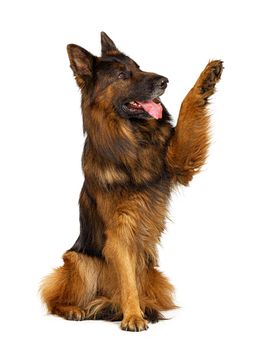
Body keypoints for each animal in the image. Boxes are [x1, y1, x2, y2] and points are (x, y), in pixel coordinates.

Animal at [39, 30, 222, 330]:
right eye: (123, 75)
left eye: (138, 67)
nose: (164, 81)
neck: (134, 138)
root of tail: (104, 299)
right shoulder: (120, 230)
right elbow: (127, 280)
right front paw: (133, 316)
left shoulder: (179, 159)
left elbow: (187, 109)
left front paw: (205, 80)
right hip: (78, 261)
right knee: (55, 298)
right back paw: (75, 309)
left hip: (153, 273)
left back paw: (143, 307)